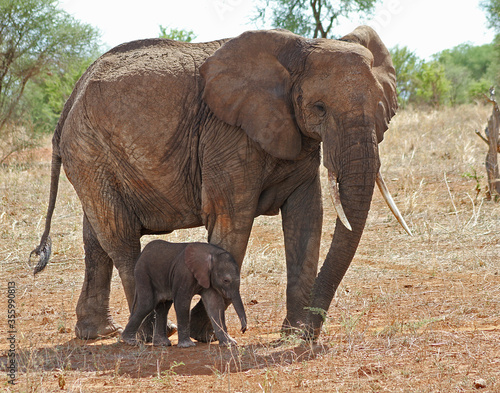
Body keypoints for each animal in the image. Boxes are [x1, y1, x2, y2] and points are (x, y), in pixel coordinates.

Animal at [31, 26, 410, 340]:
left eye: (382, 107)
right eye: (319, 107)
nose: (310, 329)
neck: (300, 47)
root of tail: (73, 93)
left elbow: (306, 220)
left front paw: (294, 332)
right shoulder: (226, 135)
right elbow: (233, 222)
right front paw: (207, 334)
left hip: (91, 155)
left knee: (96, 240)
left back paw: (97, 333)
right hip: (90, 149)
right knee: (120, 239)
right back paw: (150, 334)